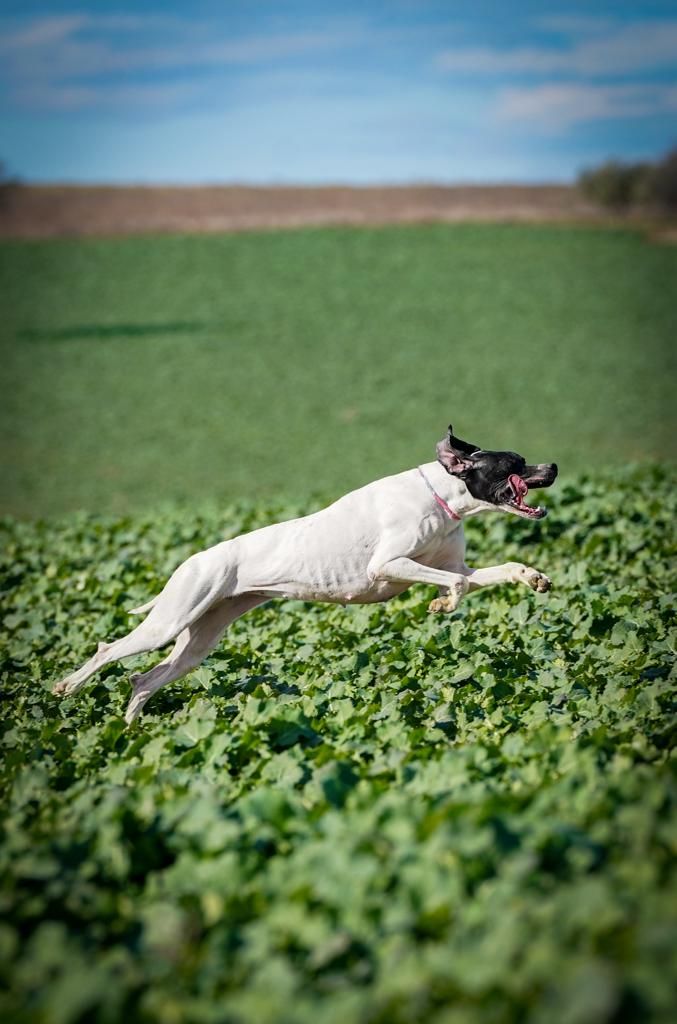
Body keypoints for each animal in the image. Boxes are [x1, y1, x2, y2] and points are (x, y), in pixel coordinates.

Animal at [52, 428, 557, 724]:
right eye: (514, 463)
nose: (552, 466)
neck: (442, 497)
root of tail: (194, 559)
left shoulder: (457, 567)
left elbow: (489, 572)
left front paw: (533, 577)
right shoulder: (388, 565)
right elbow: (453, 586)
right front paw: (441, 604)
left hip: (197, 642)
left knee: (143, 681)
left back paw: (130, 740)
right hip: (170, 619)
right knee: (108, 650)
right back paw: (67, 687)